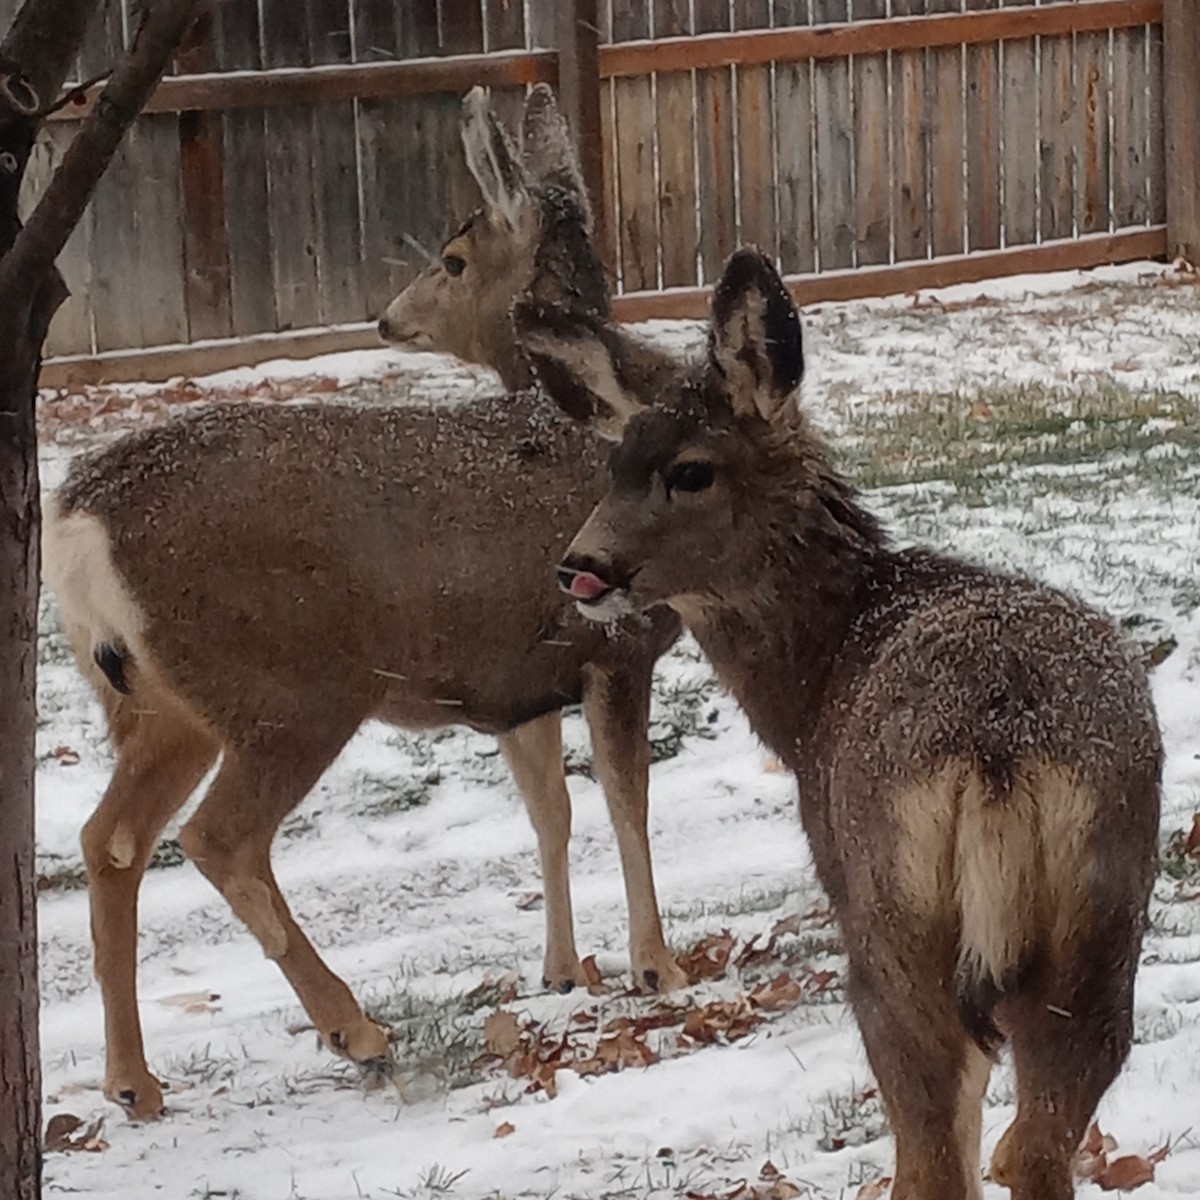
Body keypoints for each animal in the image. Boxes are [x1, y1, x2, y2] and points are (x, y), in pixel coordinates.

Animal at [41, 85, 687, 1123]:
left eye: (452, 258)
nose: (386, 319)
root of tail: (75, 521)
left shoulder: (514, 682)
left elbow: (553, 812)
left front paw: (564, 969)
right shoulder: (613, 645)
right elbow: (627, 804)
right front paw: (657, 965)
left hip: (157, 701)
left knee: (113, 840)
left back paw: (134, 1081)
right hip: (292, 688)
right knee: (217, 839)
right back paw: (358, 1032)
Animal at [529, 247, 1162, 1200]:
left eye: (690, 470)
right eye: (613, 467)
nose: (580, 568)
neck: (820, 675)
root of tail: (999, 744)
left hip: (890, 928)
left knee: (936, 1147)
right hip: (1102, 929)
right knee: (1036, 1144)